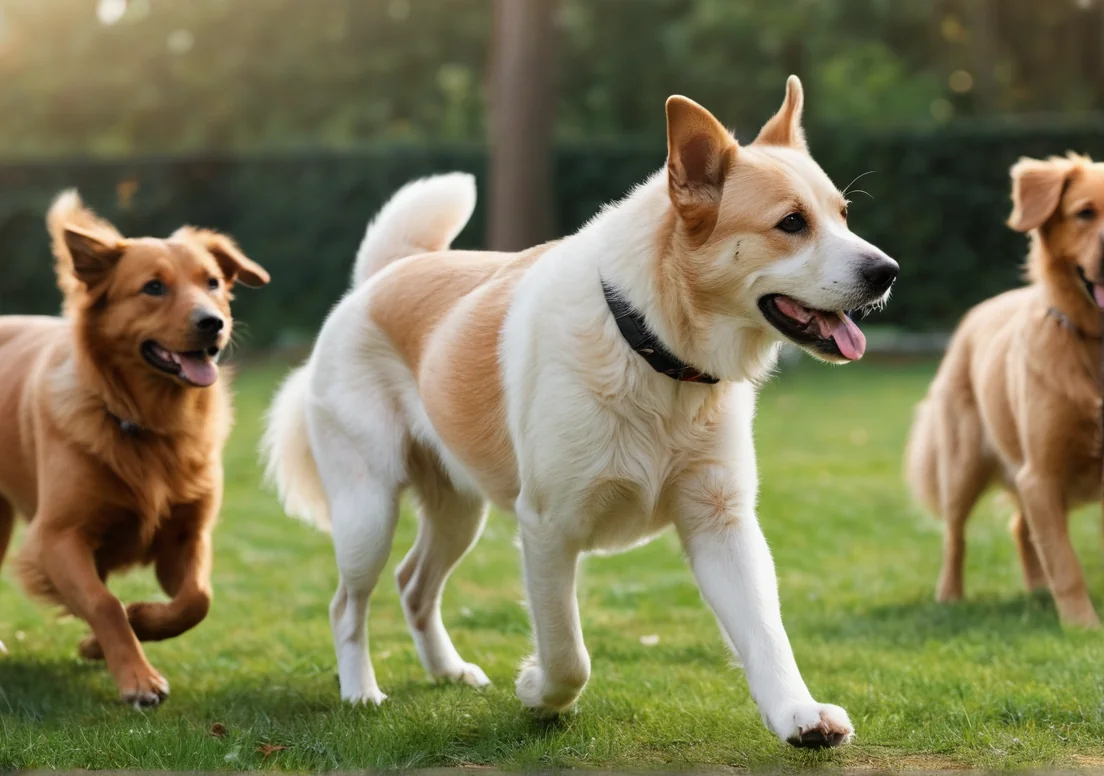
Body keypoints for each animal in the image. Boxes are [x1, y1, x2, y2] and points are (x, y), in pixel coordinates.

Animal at [0, 190, 267, 706]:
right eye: (153, 288)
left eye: (212, 282)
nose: (213, 323)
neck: (147, 421)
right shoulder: (56, 536)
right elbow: (103, 603)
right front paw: (137, 678)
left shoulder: (187, 534)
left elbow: (196, 600)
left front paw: (128, 626)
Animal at [264, 77, 896, 746]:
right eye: (792, 223)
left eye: (843, 215)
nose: (888, 271)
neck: (651, 351)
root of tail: (380, 278)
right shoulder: (547, 526)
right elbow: (568, 653)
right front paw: (538, 693)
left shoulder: (721, 522)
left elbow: (767, 636)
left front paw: (799, 714)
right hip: (368, 512)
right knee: (347, 604)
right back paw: (361, 692)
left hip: (459, 511)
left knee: (414, 586)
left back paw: (449, 672)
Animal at [905, 153, 1104, 631]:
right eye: (1085, 212)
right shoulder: (1041, 473)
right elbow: (1066, 564)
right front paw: (1083, 627)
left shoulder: (1040, 480)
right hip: (962, 464)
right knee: (955, 535)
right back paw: (950, 597)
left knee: (1021, 526)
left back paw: (1037, 592)